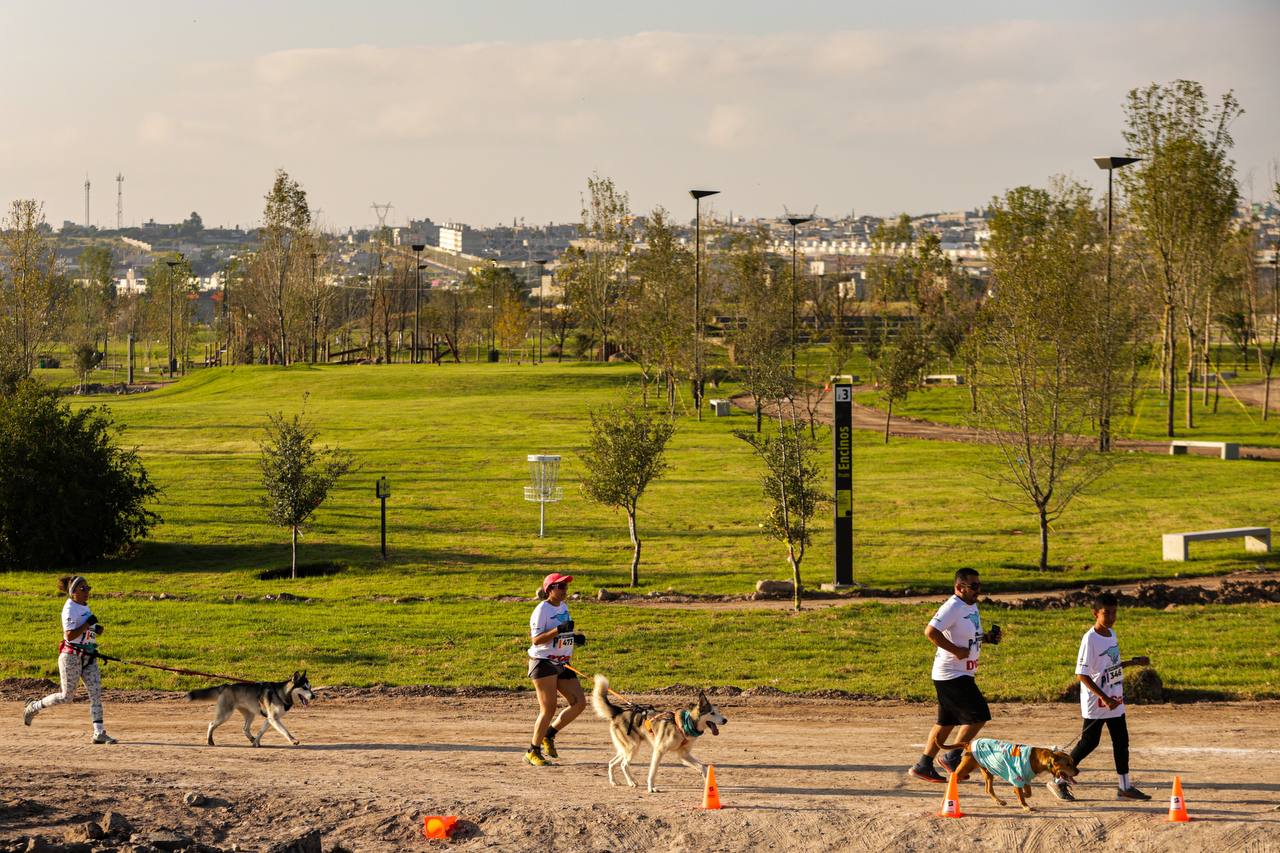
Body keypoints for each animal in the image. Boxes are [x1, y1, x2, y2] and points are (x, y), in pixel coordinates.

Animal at [591, 671, 727, 788]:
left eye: (718, 712)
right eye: (712, 713)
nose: (725, 720)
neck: (685, 724)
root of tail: (618, 711)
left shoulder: (683, 755)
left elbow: (703, 767)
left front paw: (708, 781)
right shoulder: (659, 750)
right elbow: (653, 771)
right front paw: (651, 788)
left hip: (626, 749)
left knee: (612, 763)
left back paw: (615, 781)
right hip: (632, 747)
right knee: (624, 764)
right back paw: (631, 782)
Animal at [936, 732, 1075, 809]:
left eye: (1072, 762)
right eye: (1068, 764)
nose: (1077, 771)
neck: (1037, 758)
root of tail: (969, 744)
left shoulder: (1025, 780)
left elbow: (1028, 793)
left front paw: (1020, 795)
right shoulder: (1017, 778)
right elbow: (1022, 796)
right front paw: (1025, 806)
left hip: (988, 772)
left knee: (988, 789)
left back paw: (999, 801)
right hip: (965, 769)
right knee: (952, 782)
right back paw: (944, 801)